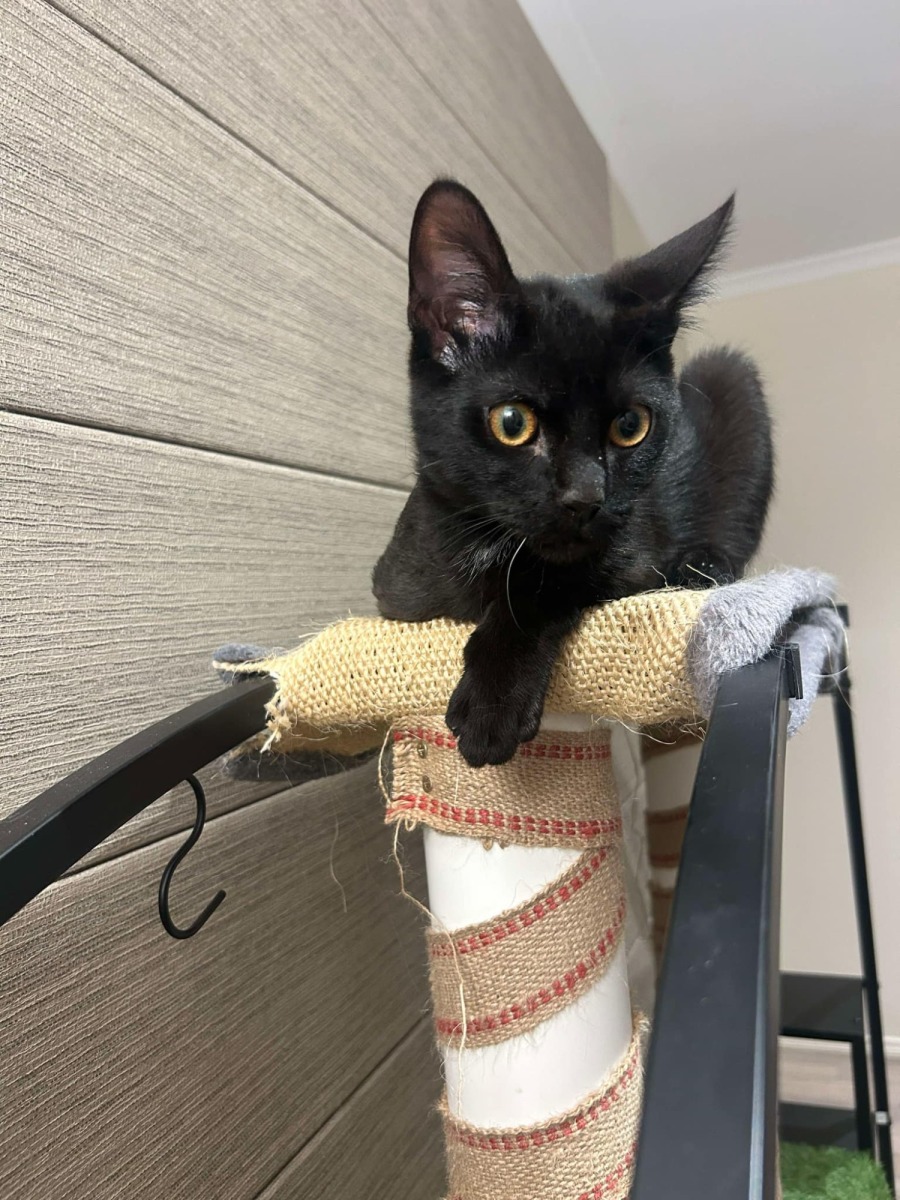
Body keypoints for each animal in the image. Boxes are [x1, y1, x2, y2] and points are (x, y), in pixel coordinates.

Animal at [373, 180, 773, 767]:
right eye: (512, 422)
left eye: (631, 425)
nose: (586, 497)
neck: (484, 550)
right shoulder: (394, 599)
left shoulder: (634, 553)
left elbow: (552, 580)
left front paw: (493, 700)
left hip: (731, 376)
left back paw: (704, 567)